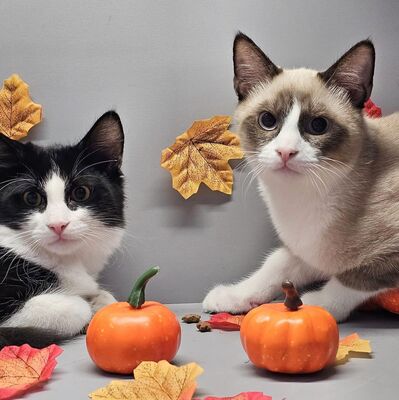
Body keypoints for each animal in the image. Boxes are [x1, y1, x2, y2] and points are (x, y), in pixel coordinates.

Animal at [0, 111, 124, 348]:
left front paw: (101, 300)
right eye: (32, 197)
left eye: (81, 192)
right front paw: (87, 305)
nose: (58, 225)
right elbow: (74, 306)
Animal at [203, 33, 399, 322]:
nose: (286, 151)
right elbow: (273, 266)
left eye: (318, 126)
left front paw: (313, 304)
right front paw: (233, 296)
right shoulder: (308, 251)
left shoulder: (383, 256)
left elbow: (350, 280)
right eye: (268, 120)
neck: (299, 200)